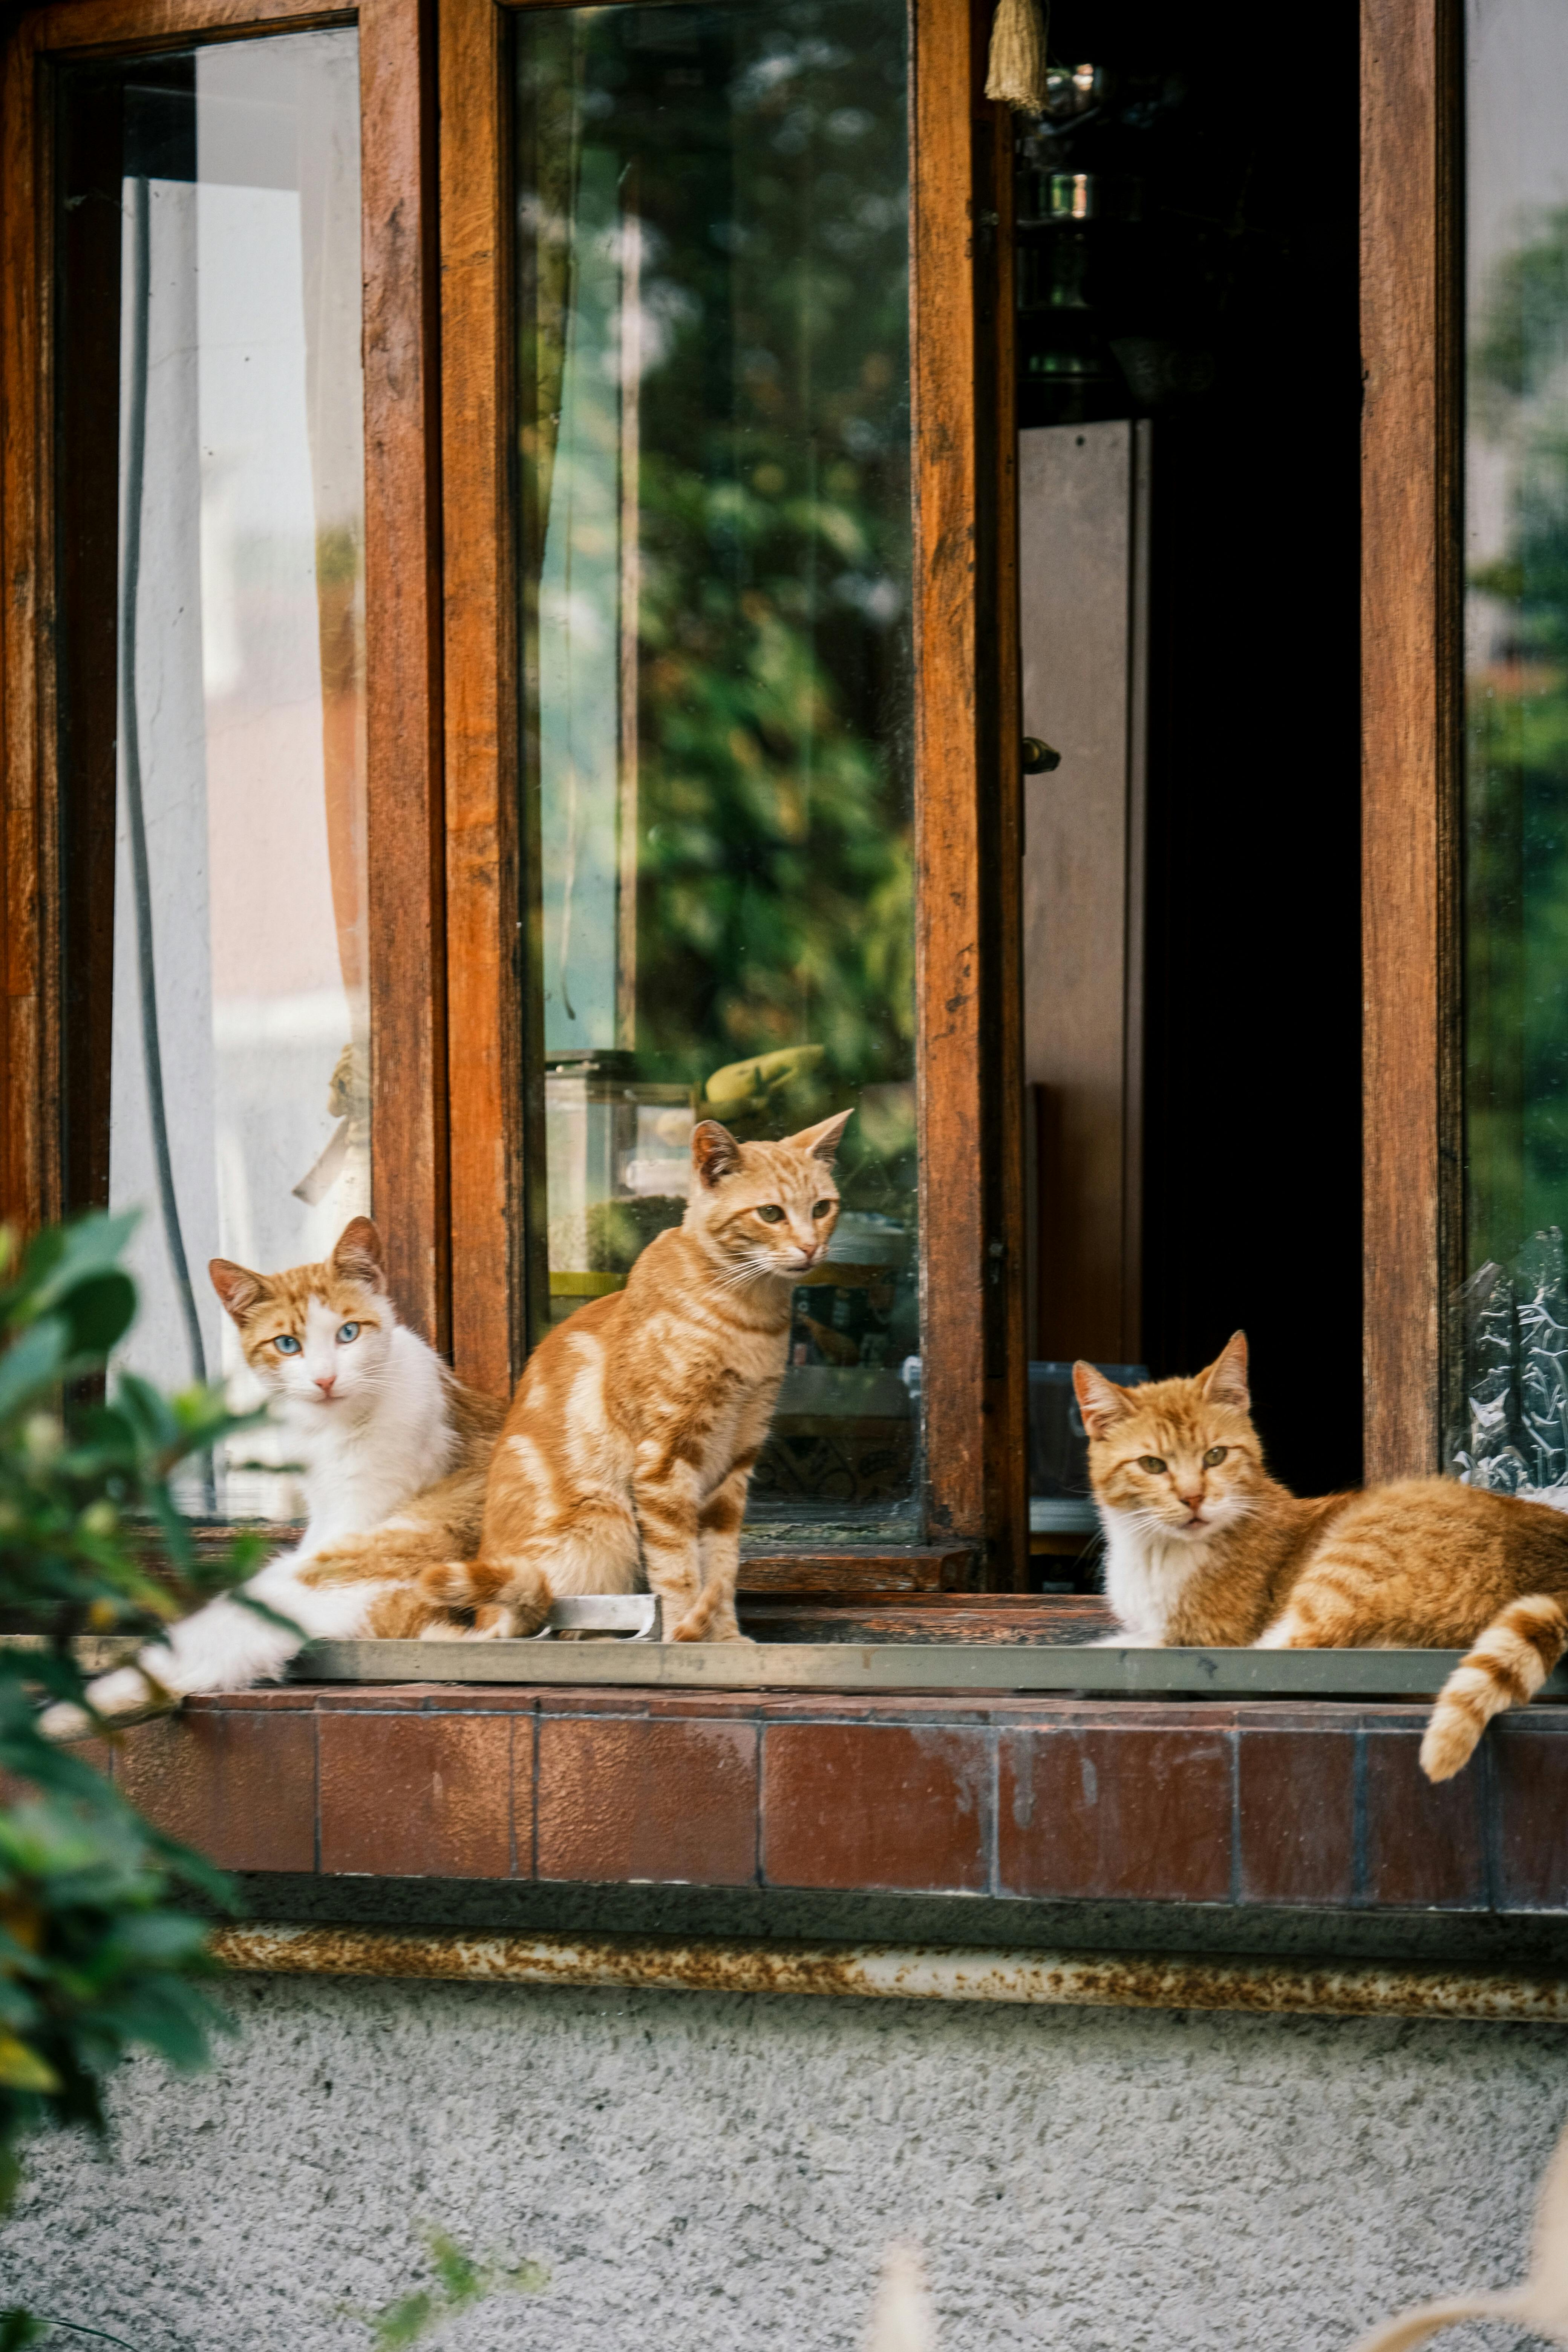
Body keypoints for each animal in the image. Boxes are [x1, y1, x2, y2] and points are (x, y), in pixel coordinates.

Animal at [41, 1223, 503, 1740]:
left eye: (348, 1334)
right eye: (287, 1345)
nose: (325, 1380)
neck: (330, 1429)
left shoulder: (355, 1516)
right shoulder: (323, 1513)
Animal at [423, 1110, 851, 1646]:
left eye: (821, 1208)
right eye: (770, 1214)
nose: (811, 1248)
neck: (750, 1315)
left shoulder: (736, 1461)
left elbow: (722, 1565)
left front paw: (725, 1638)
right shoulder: (665, 1461)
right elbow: (678, 1568)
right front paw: (687, 1634)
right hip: (606, 1524)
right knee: (555, 1626)